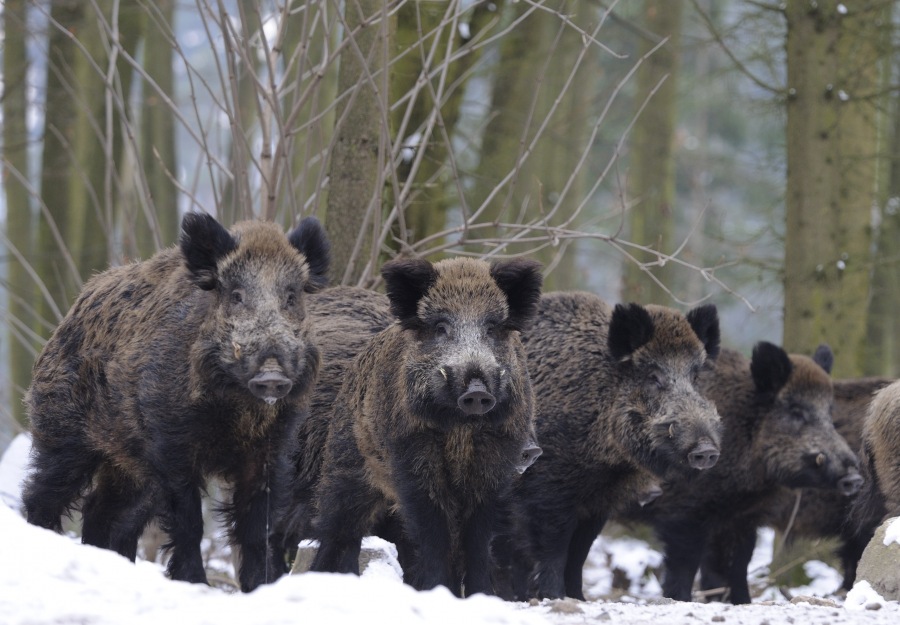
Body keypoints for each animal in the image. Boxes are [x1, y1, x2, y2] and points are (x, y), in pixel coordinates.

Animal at [22, 213, 330, 592]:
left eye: (291, 296)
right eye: (236, 295)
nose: (271, 374)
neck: (239, 412)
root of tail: (73, 310)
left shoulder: (271, 450)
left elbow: (257, 530)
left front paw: (259, 587)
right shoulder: (172, 446)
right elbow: (189, 523)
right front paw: (196, 584)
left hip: (131, 466)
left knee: (102, 513)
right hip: (63, 434)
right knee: (42, 495)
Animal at [308, 257, 543, 597]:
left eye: (491, 327)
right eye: (441, 327)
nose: (476, 390)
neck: (461, 428)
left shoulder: (496, 463)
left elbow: (478, 537)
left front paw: (480, 596)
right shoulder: (411, 456)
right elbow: (433, 530)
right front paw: (436, 591)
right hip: (345, 462)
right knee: (339, 528)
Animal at [500, 293, 723, 601]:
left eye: (696, 377)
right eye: (653, 377)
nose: (706, 450)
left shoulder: (599, 503)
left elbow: (579, 554)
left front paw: (577, 598)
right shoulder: (547, 490)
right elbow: (554, 550)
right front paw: (554, 596)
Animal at [625, 342, 863, 604]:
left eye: (829, 413)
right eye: (796, 411)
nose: (855, 478)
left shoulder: (741, 519)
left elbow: (737, 567)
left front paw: (741, 602)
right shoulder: (685, 513)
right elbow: (684, 567)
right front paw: (680, 599)